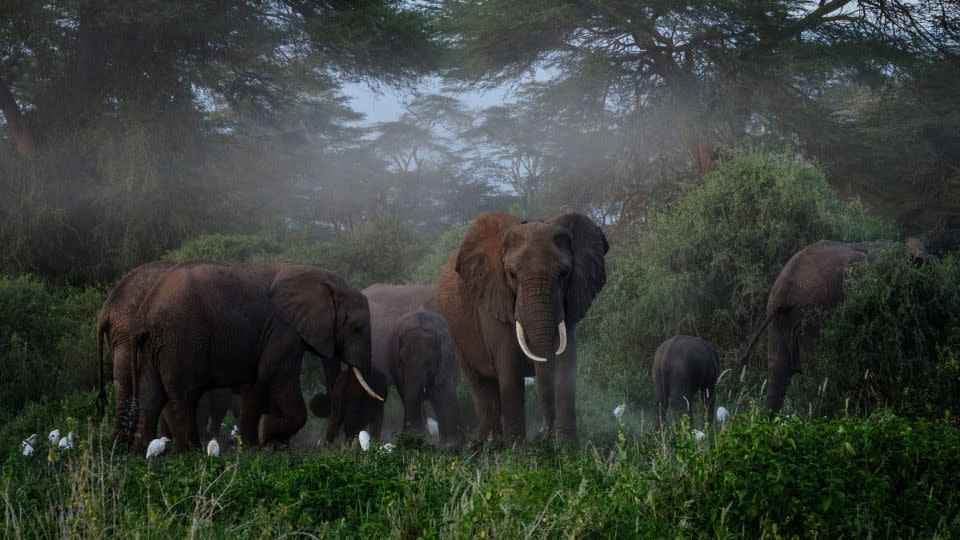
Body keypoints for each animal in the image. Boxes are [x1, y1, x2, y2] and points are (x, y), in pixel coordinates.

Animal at [128, 260, 382, 452]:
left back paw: (143, 453)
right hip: (180, 340)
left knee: (150, 393)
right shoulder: (282, 327)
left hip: (158, 344)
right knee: (184, 394)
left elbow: (256, 383)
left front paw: (254, 446)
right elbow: (275, 373)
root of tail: (147, 309)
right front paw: (265, 432)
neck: (317, 276)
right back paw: (189, 452)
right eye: (357, 327)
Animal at [436, 211, 608, 442]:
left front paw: (567, 447)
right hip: (456, 333)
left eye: (564, 273)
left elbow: (566, 363)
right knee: (481, 385)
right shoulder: (492, 300)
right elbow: (509, 368)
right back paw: (490, 445)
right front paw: (519, 450)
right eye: (511, 274)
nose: (543, 434)